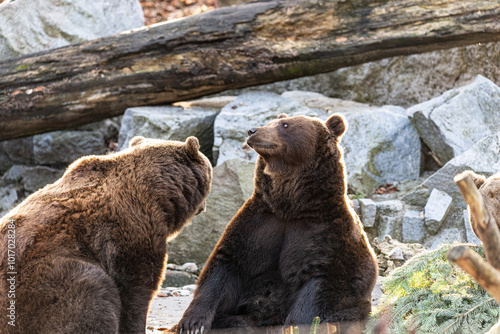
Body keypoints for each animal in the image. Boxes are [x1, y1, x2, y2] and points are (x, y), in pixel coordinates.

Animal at [0, 136, 212, 334]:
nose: (205, 206)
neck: (160, 195)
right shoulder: (133, 232)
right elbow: (137, 290)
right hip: (44, 282)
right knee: (93, 293)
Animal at [175, 113, 376, 332]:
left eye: (285, 125)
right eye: (271, 121)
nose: (252, 131)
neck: (290, 206)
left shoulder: (325, 230)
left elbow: (319, 285)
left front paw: (296, 325)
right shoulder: (260, 222)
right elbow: (224, 266)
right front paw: (192, 323)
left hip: (356, 308)